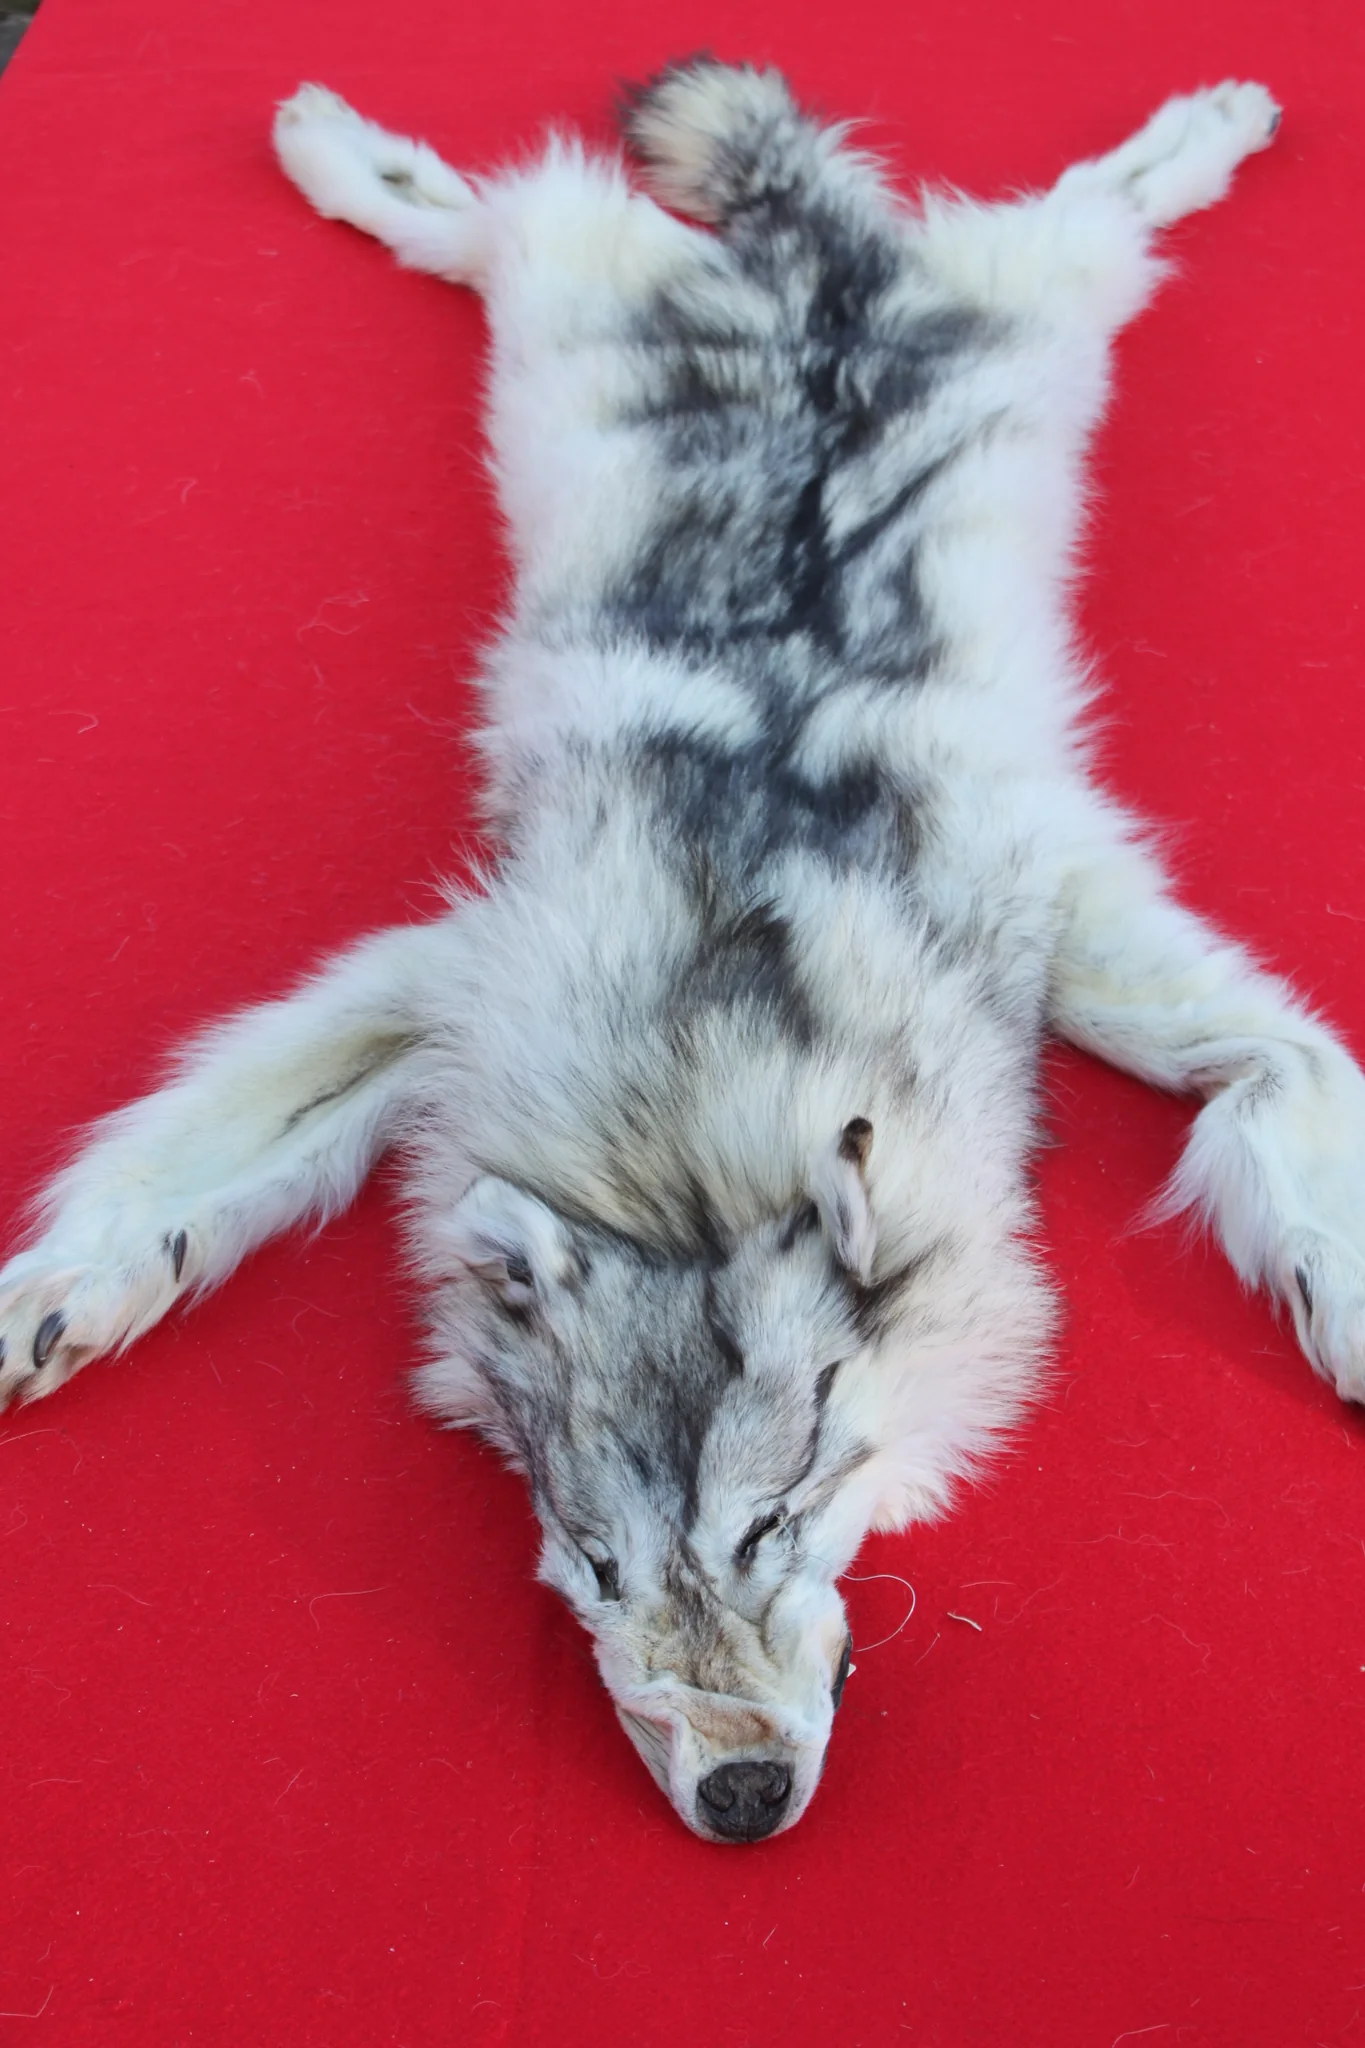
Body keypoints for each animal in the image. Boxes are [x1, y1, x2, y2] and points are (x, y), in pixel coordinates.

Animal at [3, 61, 1361, 1844]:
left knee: (1094, 196)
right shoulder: (447, 977)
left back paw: (1217, 122)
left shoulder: (1084, 919)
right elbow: (184, 1163)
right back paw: (331, 145)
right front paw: (65, 1295)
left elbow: (1294, 1104)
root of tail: (808, 262)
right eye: (592, 1565)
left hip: (1039, 294)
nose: (739, 1799)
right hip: (575, 290)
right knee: (487, 208)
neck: (695, 1109)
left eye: (772, 1522)